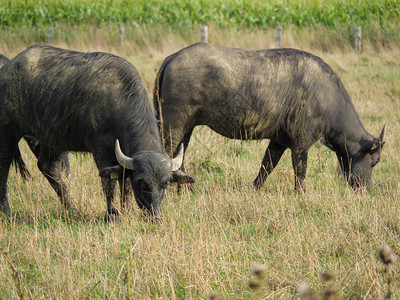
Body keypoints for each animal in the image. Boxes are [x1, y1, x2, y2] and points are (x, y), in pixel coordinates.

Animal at [0, 42, 192, 220]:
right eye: (142, 183)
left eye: (165, 183)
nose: (155, 217)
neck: (119, 101)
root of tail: (7, 69)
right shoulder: (99, 148)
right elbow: (108, 183)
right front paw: (112, 214)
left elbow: (124, 184)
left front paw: (127, 211)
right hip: (8, 130)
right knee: (4, 167)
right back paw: (7, 212)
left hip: (52, 139)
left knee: (48, 166)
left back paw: (72, 209)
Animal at [154, 42, 384, 191]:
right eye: (374, 162)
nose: (365, 190)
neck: (326, 95)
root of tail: (172, 58)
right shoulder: (300, 144)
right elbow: (300, 170)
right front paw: (301, 194)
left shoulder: (279, 141)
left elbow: (267, 166)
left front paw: (255, 188)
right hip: (173, 125)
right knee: (167, 152)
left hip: (186, 127)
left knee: (180, 154)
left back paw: (184, 189)